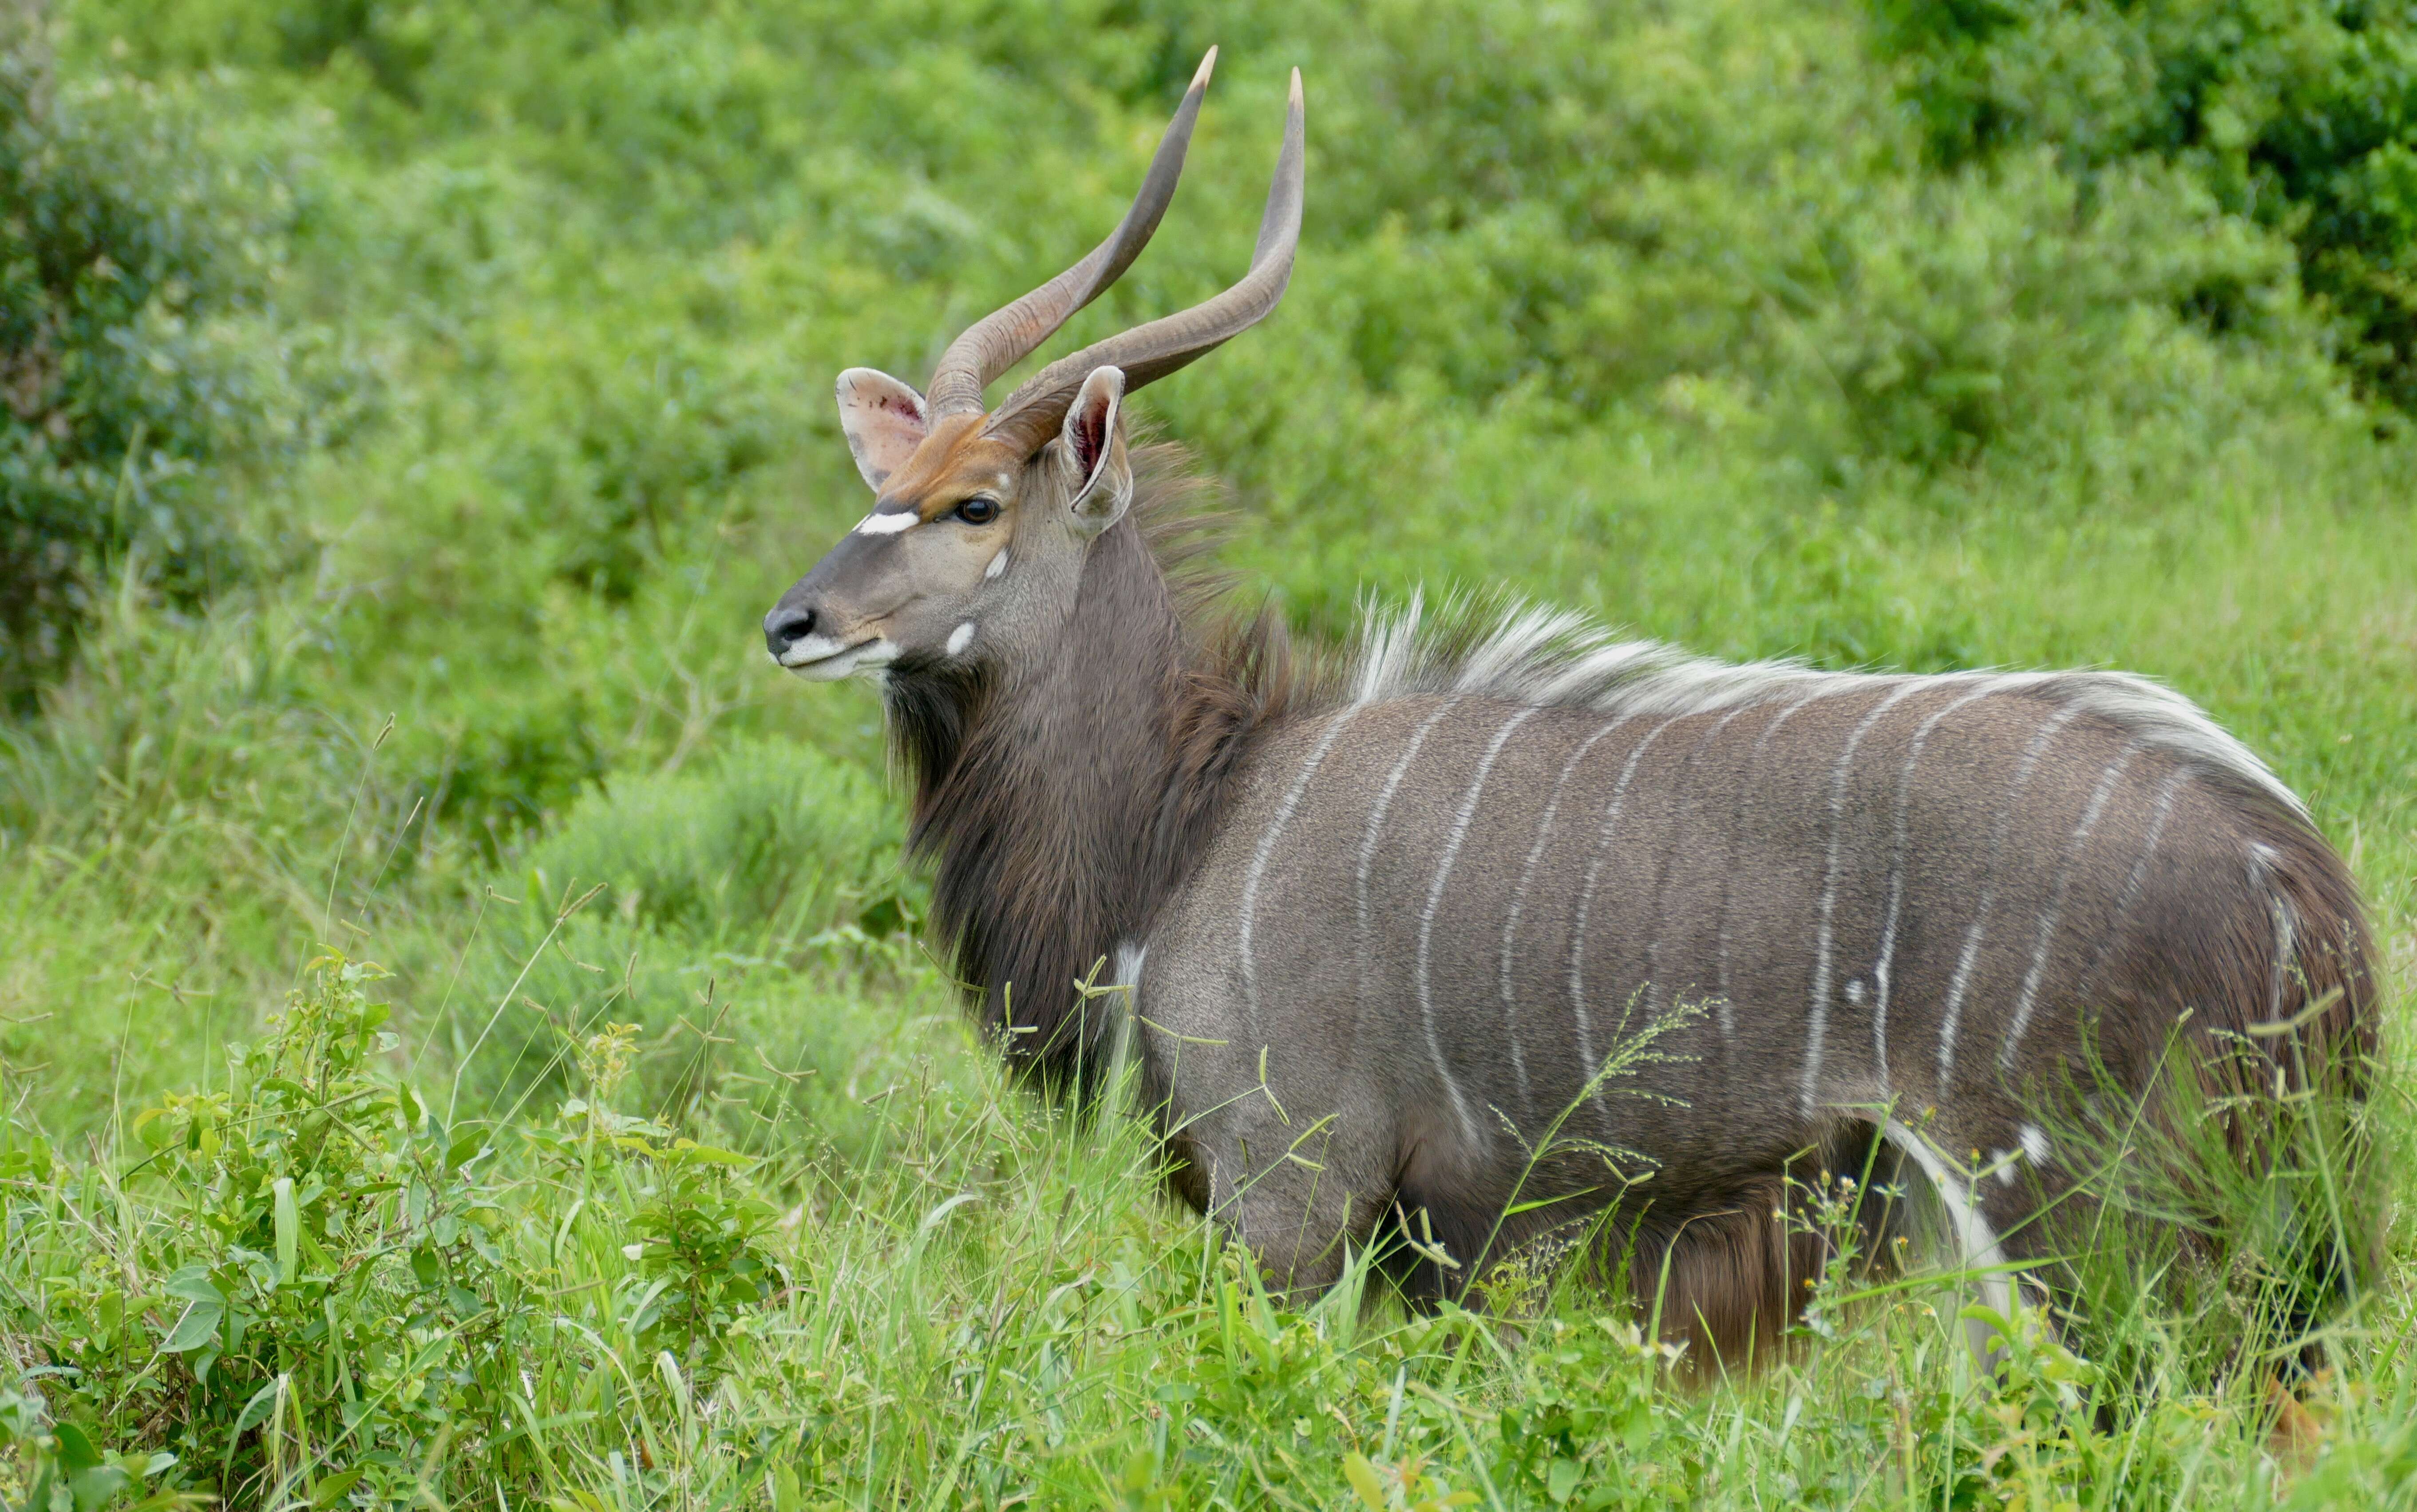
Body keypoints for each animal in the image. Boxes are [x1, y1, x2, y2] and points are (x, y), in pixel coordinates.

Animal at [763, 53, 2369, 1362]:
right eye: (881, 485)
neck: (1197, 808)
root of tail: (2293, 876)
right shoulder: (1441, 1245)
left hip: (2082, 1216)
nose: (793, 623)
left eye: (973, 504)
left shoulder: (1291, 1191)